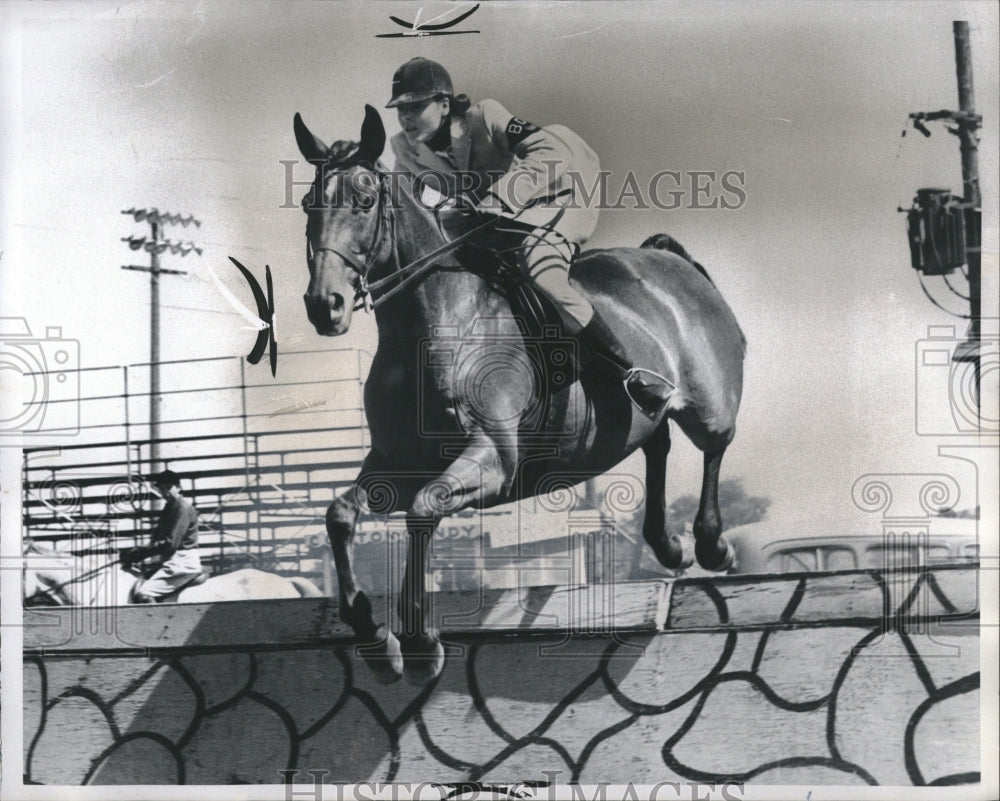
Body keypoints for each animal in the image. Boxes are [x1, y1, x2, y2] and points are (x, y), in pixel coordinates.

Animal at [292, 104, 748, 680]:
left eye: (365, 201)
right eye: (308, 204)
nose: (323, 306)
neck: (438, 322)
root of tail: (670, 261)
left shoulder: (495, 459)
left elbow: (423, 508)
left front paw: (418, 643)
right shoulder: (393, 463)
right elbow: (340, 515)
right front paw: (374, 638)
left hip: (708, 403)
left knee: (714, 445)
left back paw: (710, 545)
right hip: (640, 418)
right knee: (657, 441)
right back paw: (668, 548)